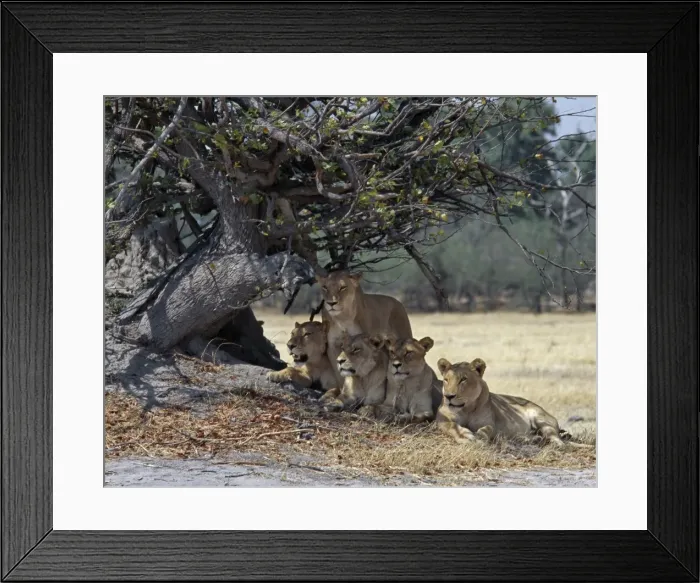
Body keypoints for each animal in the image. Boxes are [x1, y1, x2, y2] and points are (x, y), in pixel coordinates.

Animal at [436, 358, 588, 448]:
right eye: (446, 380)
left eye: (463, 379)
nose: (449, 396)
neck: (466, 408)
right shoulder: (442, 420)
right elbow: (451, 426)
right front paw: (465, 436)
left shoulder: (489, 423)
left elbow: (487, 429)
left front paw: (480, 436)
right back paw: (534, 439)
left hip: (541, 418)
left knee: (557, 439)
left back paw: (553, 443)